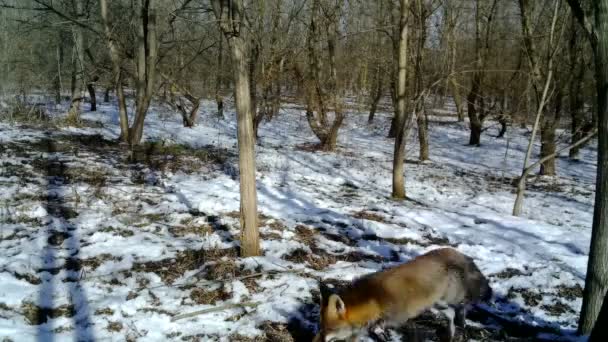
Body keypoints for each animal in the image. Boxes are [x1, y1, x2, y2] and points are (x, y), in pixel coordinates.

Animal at [316, 247, 492, 340]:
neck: (376, 298)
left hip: (451, 297)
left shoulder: (396, 317)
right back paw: (452, 332)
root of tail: (460, 254)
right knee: (451, 313)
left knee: (463, 306)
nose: (315, 341)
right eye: (321, 327)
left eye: (330, 329)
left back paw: (461, 324)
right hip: (435, 303)